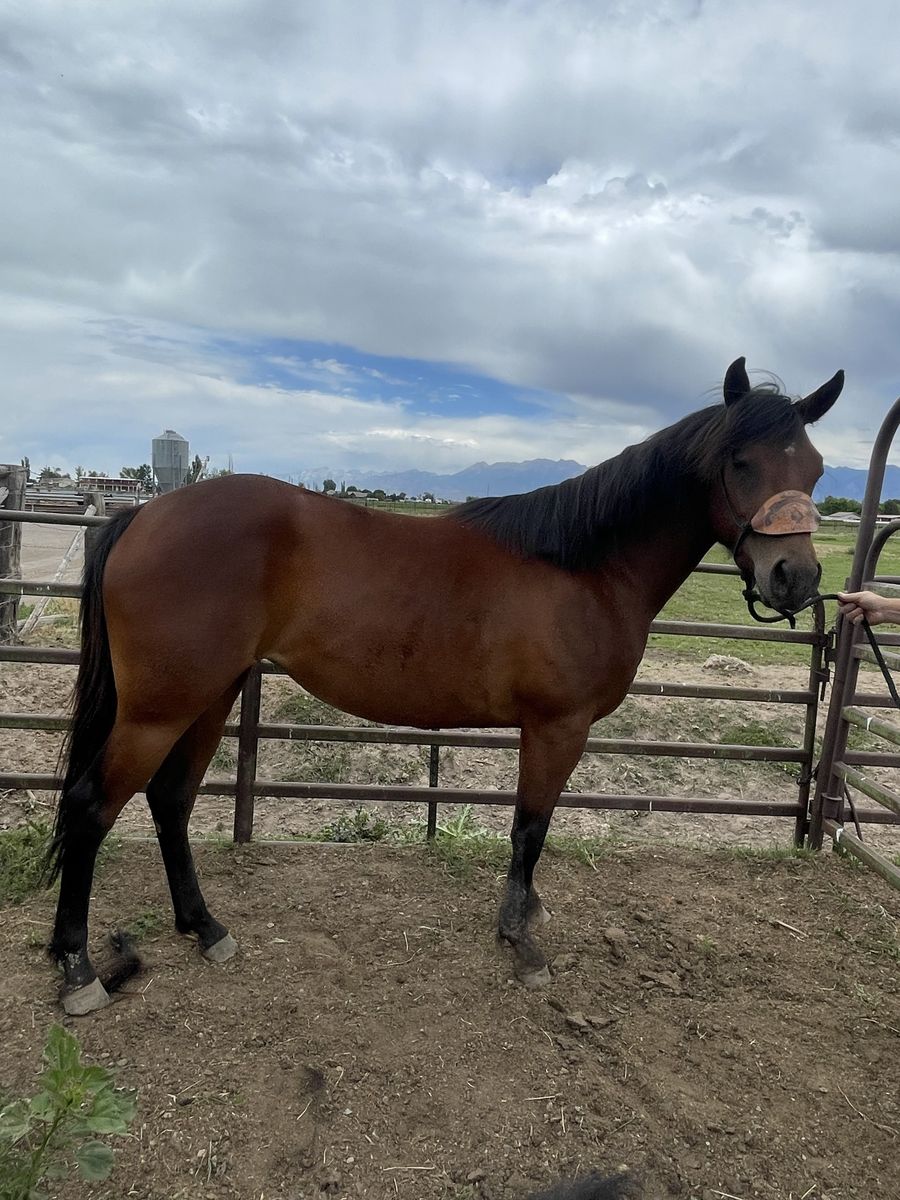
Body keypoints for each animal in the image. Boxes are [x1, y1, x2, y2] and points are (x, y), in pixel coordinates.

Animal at [47, 357, 842, 1014]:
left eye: (816, 467)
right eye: (739, 461)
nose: (795, 579)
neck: (585, 565)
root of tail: (142, 513)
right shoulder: (557, 727)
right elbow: (530, 827)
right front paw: (521, 943)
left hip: (210, 696)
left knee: (171, 801)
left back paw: (204, 928)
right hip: (160, 709)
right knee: (91, 807)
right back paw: (80, 971)